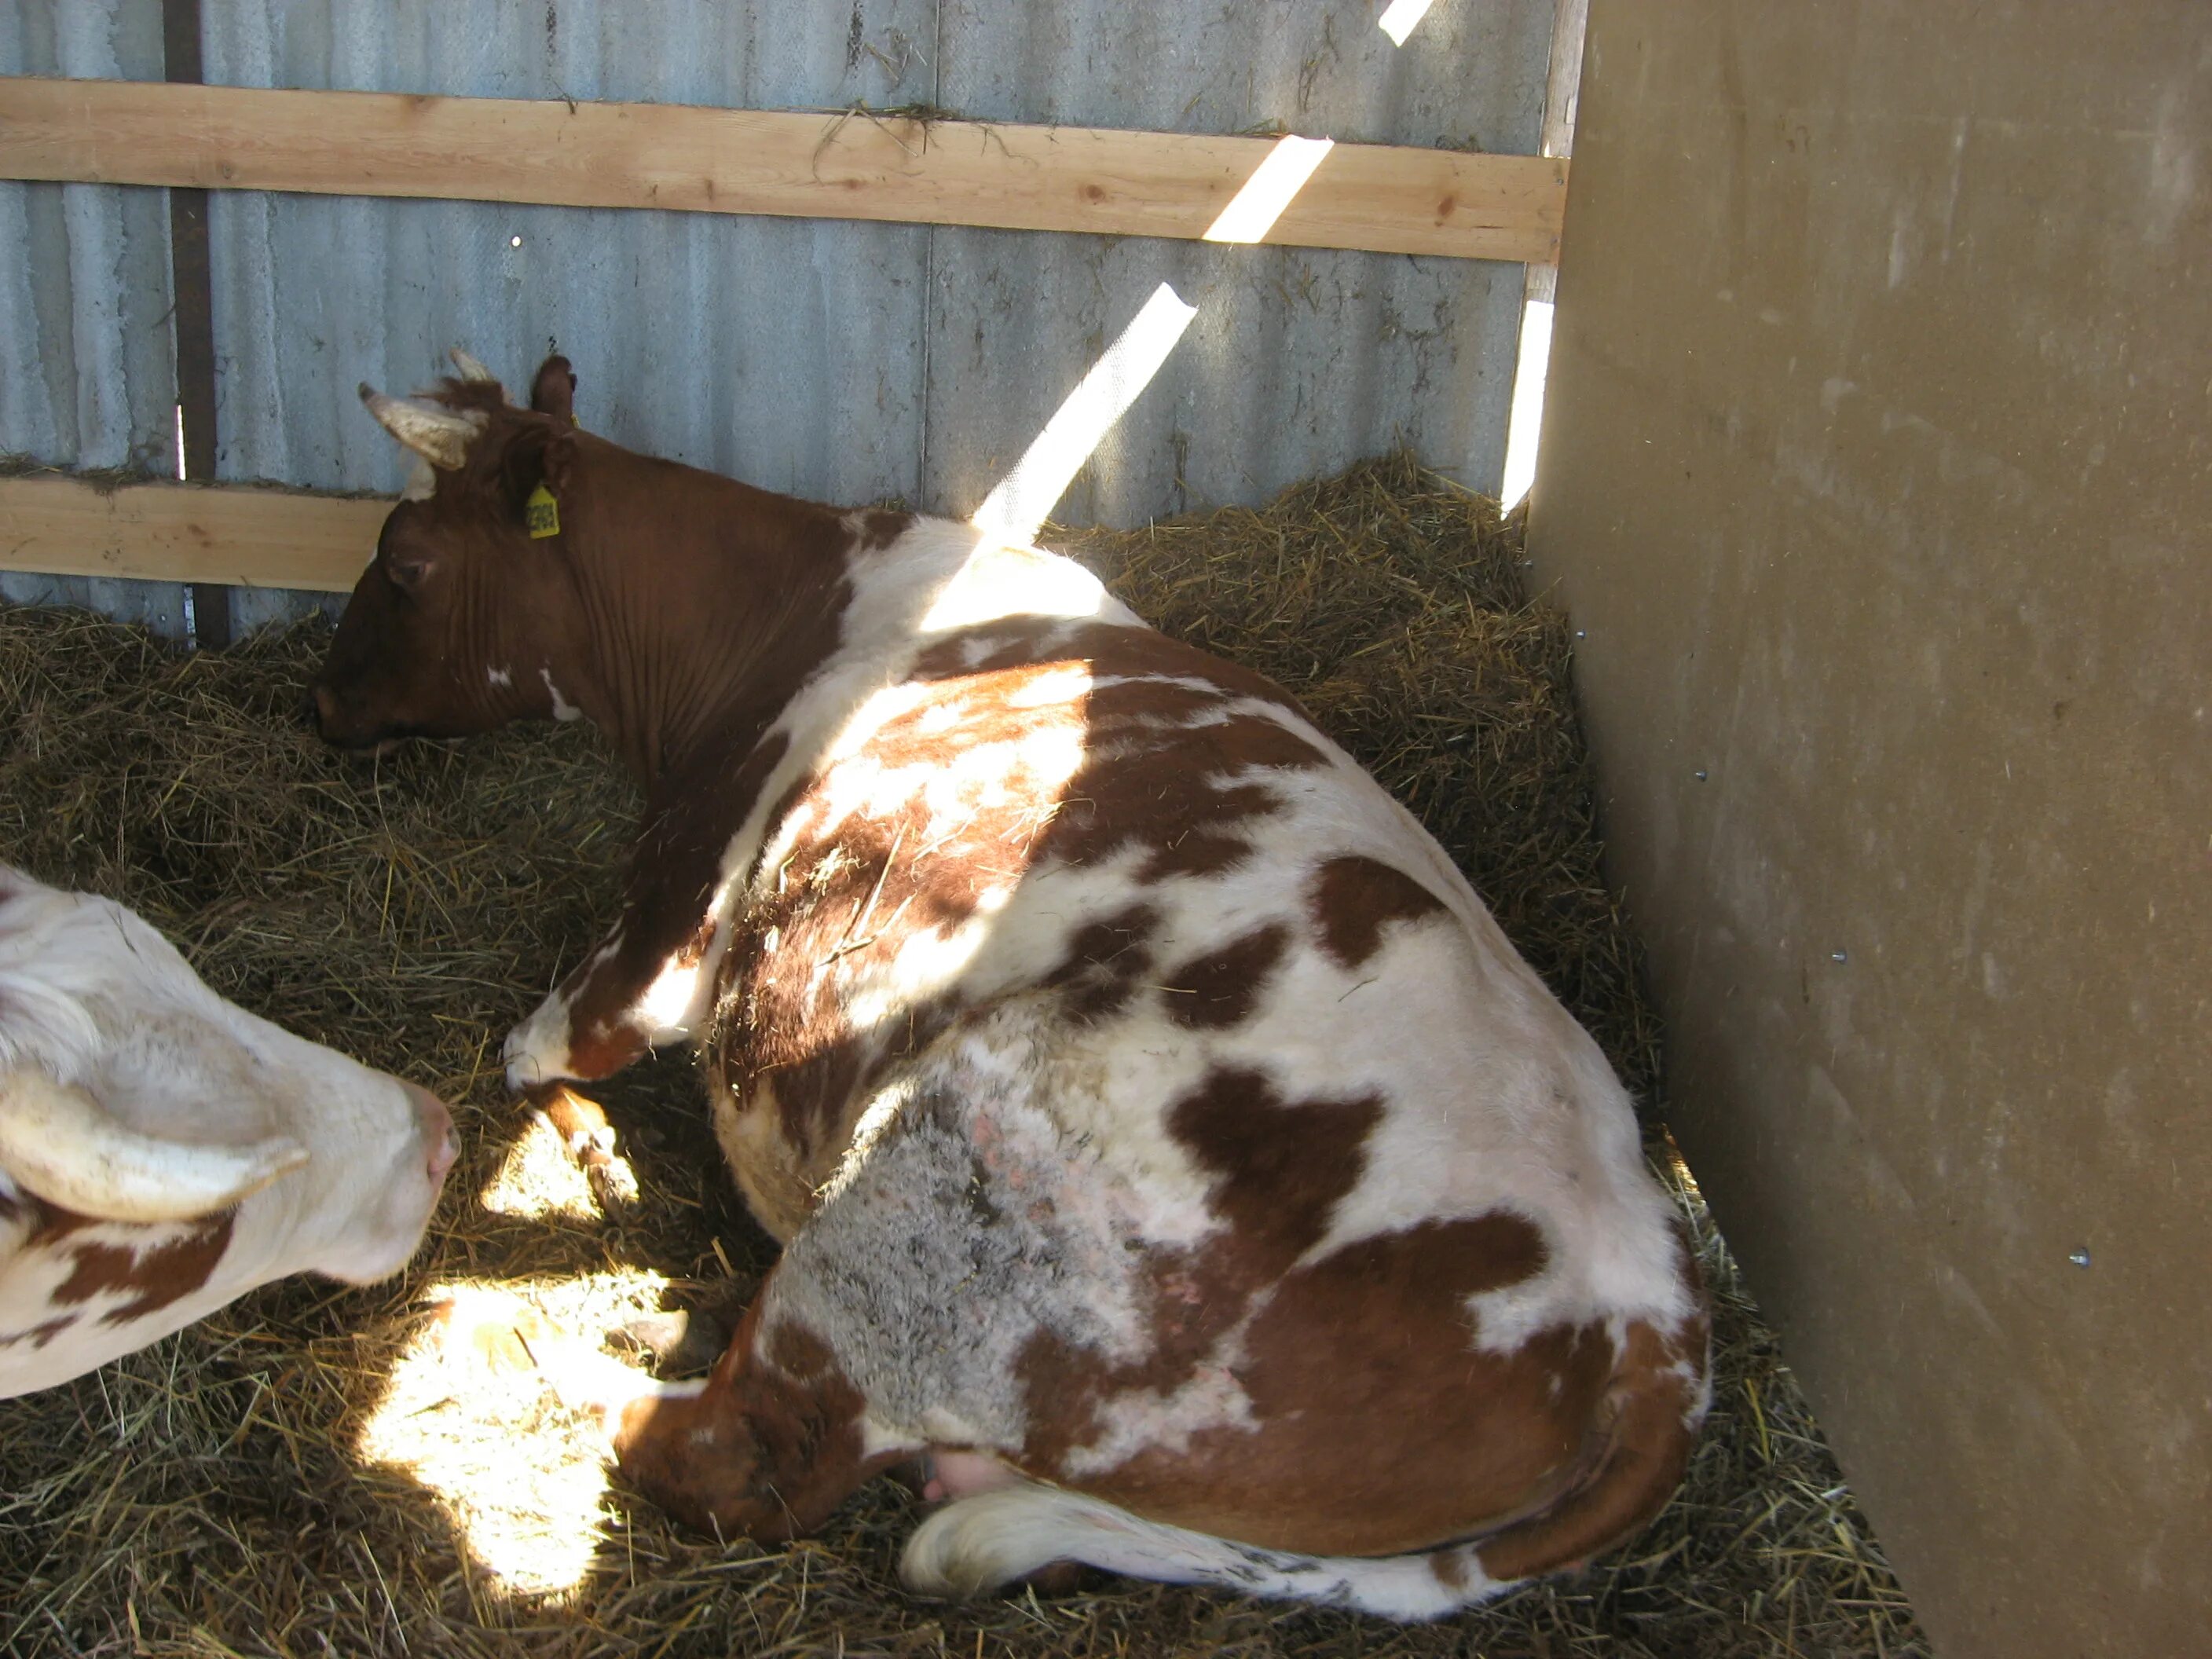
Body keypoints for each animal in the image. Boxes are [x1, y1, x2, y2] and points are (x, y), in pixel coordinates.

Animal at [307, 353, 1707, 1628]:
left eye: (406, 559)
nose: (321, 699)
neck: (790, 613)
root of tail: (1646, 1324)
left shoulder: (661, 935)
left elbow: (525, 1052)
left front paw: (586, 1150)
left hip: (946, 1194)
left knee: (741, 1455)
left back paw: (555, 1350)